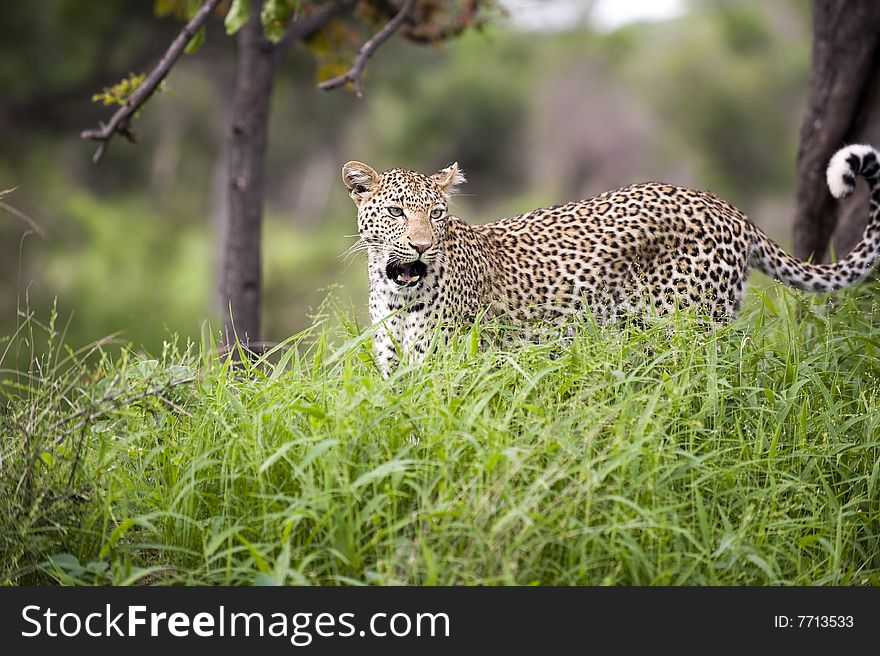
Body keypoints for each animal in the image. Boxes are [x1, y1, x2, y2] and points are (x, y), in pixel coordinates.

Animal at [342, 145, 880, 374]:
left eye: (436, 214)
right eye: (395, 212)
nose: (421, 245)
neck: (395, 294)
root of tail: (728, 207)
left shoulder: (442, 368)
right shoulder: (396, 373)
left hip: (690, 324)